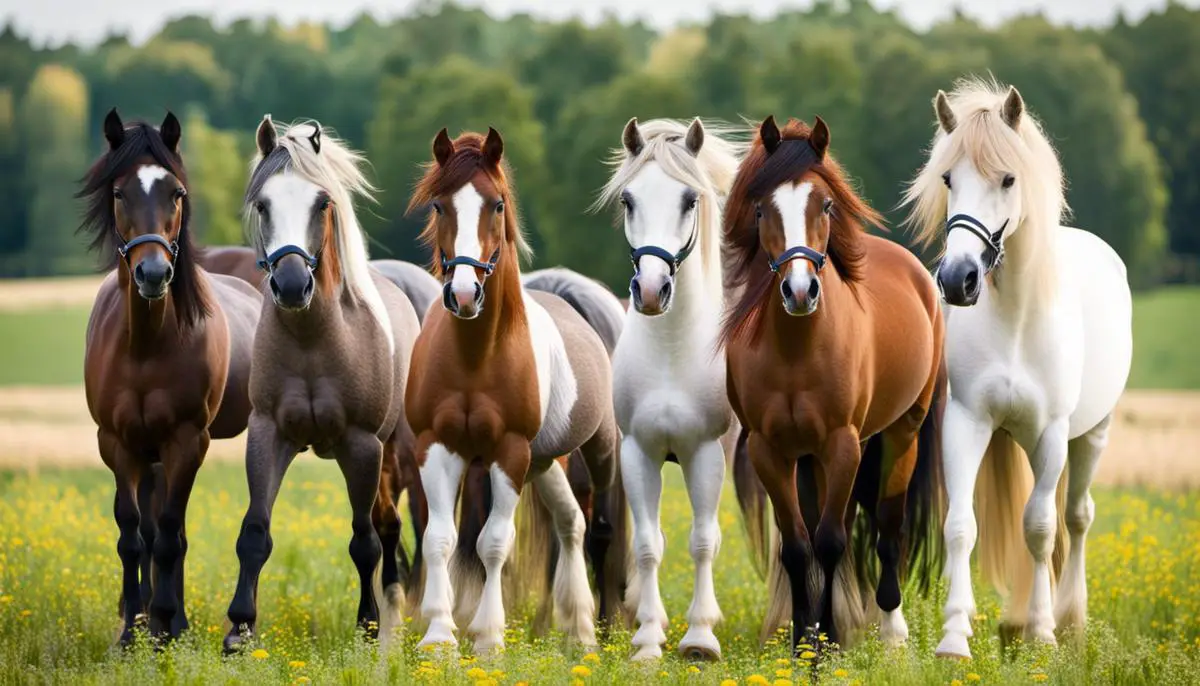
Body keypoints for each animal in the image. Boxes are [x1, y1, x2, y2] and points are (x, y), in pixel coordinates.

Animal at [78, 107, 261, 642]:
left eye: (175, 193)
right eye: (120, 193)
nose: (154, 274)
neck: (145, 347)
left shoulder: (186, 440)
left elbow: (166, 536)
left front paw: (162, 629)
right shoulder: (116, 442)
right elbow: (131, 534)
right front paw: (132, 633)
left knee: (171, 532)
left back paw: (173, 619)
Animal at [223, 115, 424, 652]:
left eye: (322, 203)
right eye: (263, 203)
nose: (293, 286)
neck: (313, 339)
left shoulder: (361, 445)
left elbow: (364, 542)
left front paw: (368, 628)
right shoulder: (269, 434)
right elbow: (255, 531)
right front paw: (239, 631)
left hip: (397, 452)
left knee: (394, 529)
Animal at [592, 116, 748, 657]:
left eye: (688, 200)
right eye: (628, 200)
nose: (652, 290)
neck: (671, 354)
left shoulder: (703, 454)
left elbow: (702, 542)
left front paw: (699, 638)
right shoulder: (640, 452)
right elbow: (647, 544)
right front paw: (646, 638)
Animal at [720, 113, 945, 652]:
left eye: (824, 205)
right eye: (762, 208)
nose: (800, 291)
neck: (796, 351)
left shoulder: (843, 443)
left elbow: (829, 541)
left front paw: (822, 650)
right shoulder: (769, 449)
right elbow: (798, 546)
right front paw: (807, 642)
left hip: (898, 435)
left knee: (886, 525)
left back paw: (892, 631)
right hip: (811, 457)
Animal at [902, 77, 1137, 657]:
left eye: (1008, 178)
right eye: (948, 178)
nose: (957, 279)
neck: (1016, 321)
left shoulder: (1051, 434)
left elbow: (1039, 529)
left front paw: (1043, 634)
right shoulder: (967, 424)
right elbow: (962, 525)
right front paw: (955, 636)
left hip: (1090, 435)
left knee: (1074, 517)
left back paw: (1068, 619)